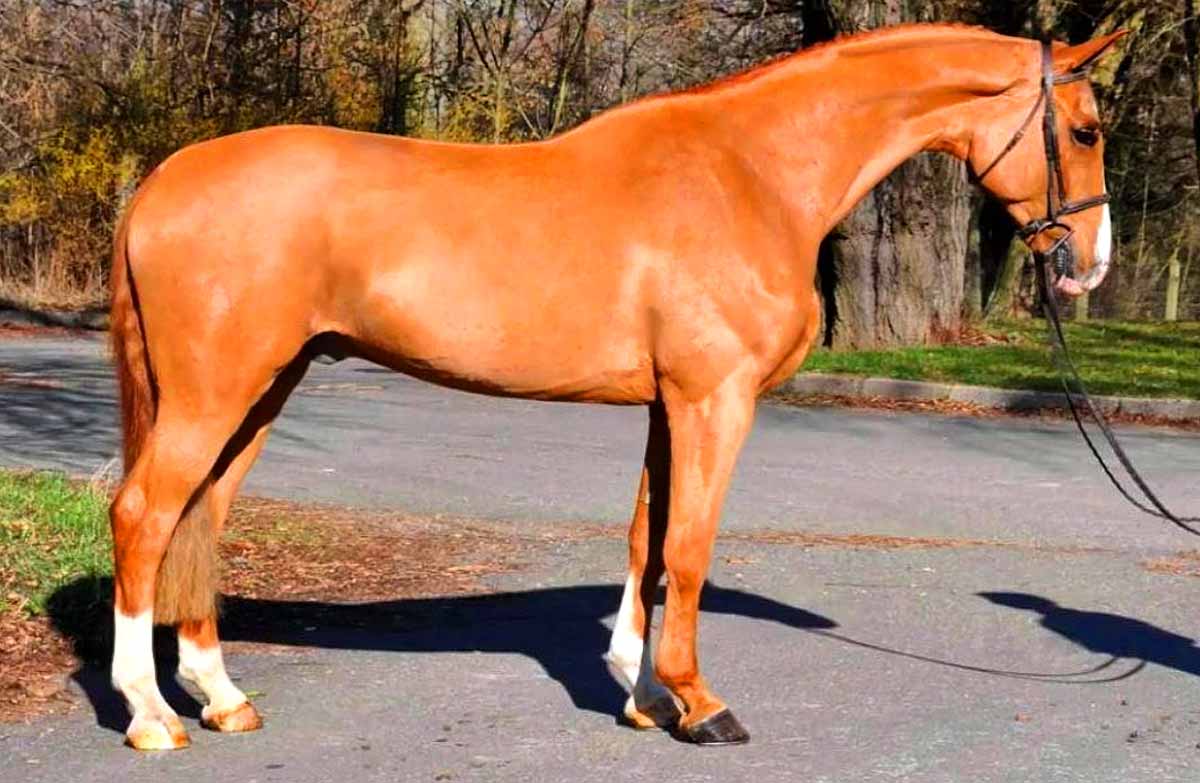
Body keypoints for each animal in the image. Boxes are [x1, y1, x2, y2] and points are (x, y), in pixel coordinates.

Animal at [106, 24, 1125, 750]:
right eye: (1084, 131)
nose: (1089, 265)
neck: (751, 174)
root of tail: (162, 180)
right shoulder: (715, 399)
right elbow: (691, 547)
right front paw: (700, 703)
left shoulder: (669, 405)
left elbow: (649, 539)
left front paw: (643, 695)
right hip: (215, 394)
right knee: (144, 515)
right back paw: (151, 714)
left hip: (262, 390)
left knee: (200, 516)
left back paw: (221, 697)